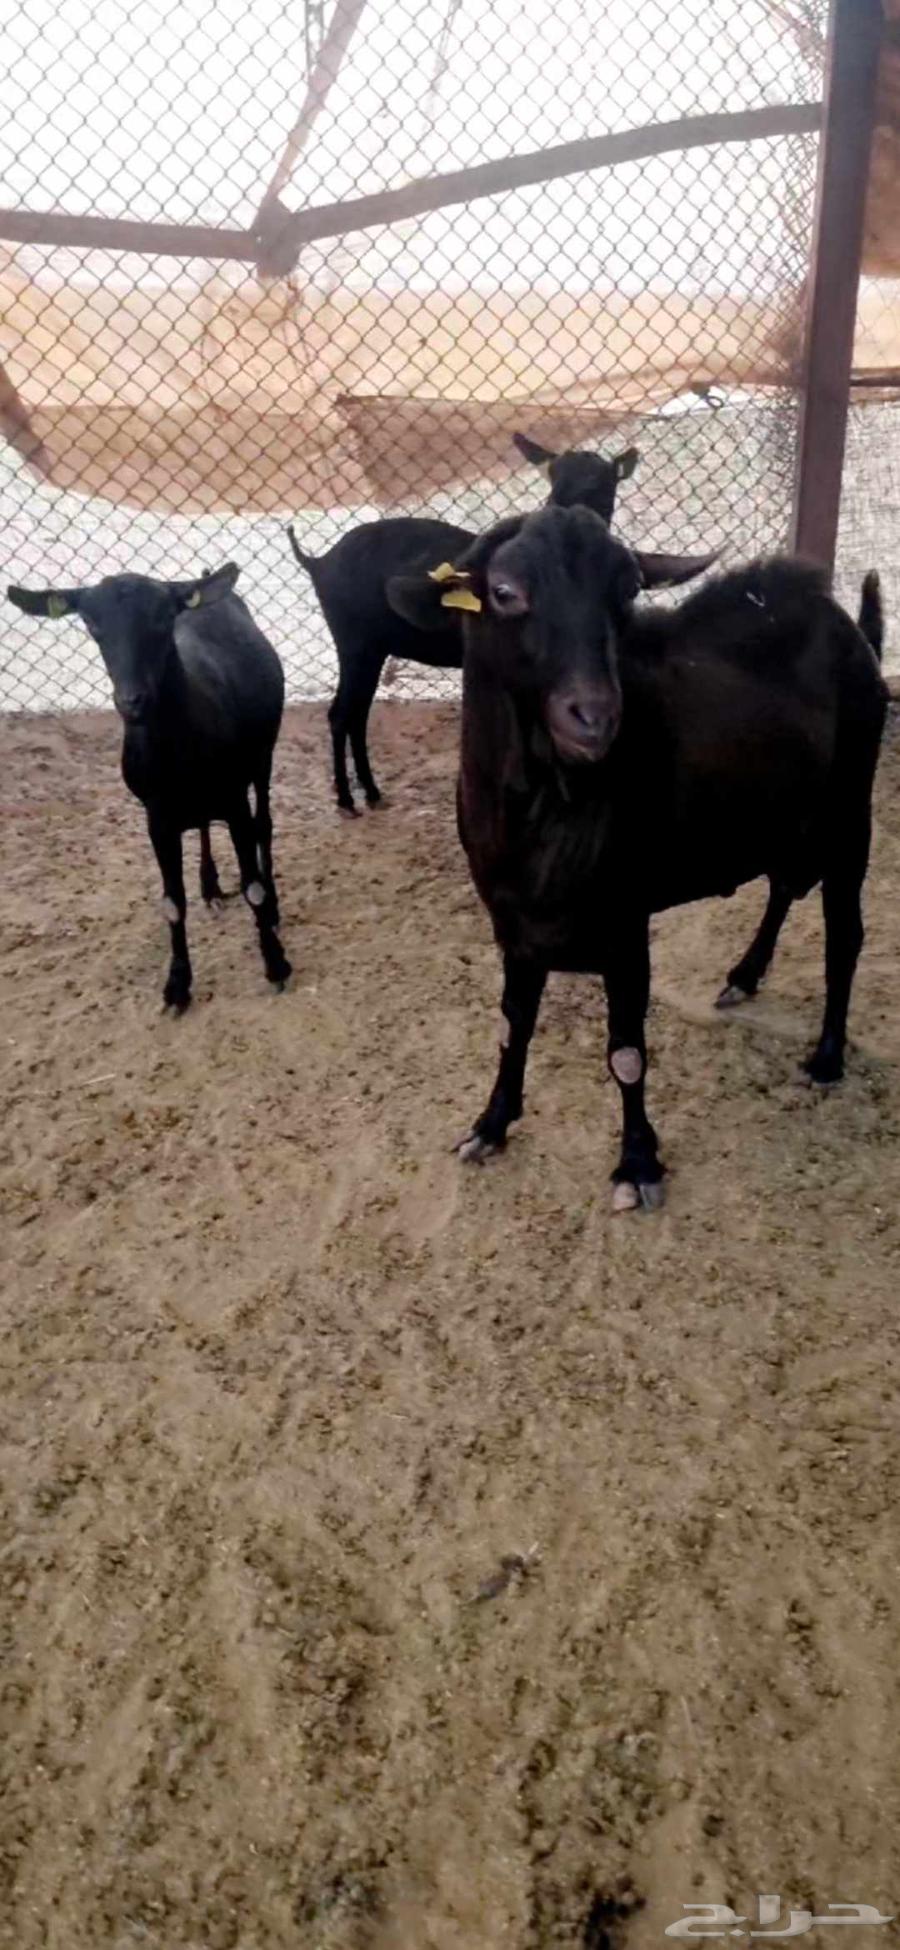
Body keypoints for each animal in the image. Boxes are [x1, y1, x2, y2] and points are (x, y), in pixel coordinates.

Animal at [7, 565, 291, 1009]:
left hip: (261, 758)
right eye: (91, 623)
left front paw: (275, 963)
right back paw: (210, 886)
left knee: (263, 823)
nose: (132, 701)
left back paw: (272, 907)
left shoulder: (233, 799)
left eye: (162, 618)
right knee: (204, 826)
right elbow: (172, 904)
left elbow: (253, 889)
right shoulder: (156, 816)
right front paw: (177, 984)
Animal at [288, 434, 639, 817]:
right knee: (341, 714)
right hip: (354, 643)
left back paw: (370, 790)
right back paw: (347, 798)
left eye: (603, 483)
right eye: (553, 478)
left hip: (372, 648)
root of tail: (318, 562)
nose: (558, 515)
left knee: (357, 714)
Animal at [387, 505, 886, 1212]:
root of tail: (849, 626)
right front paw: (489, 1126)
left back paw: (826, 1057)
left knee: (844, 933)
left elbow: (626, 1052)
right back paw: (744, 975)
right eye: (505, 592)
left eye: (625, 594)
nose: (595, 717)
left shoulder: (625, 925)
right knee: (785, 885)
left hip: (849, 809)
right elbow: (513, 1026)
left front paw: (638, 1166)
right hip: (782, 816)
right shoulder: (513, 927)